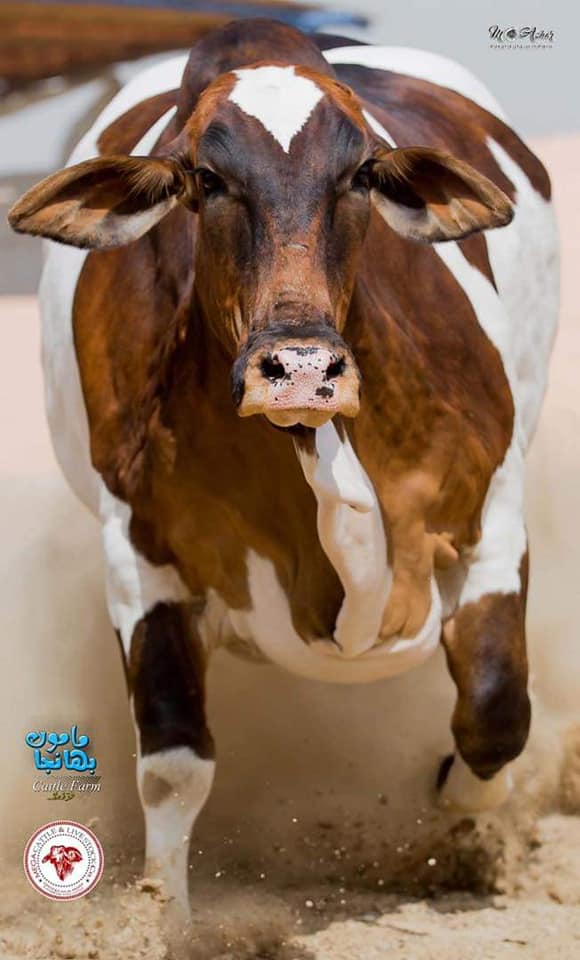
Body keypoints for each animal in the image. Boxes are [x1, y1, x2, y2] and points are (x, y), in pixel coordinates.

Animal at [9, 18, 558, 917]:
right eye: (205, 178)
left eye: (362, 173)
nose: (300, 367)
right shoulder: (138, 544)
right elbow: (173, 761)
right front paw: (167, 921)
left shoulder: (494, 508)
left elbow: (494, 713)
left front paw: (460, 820)